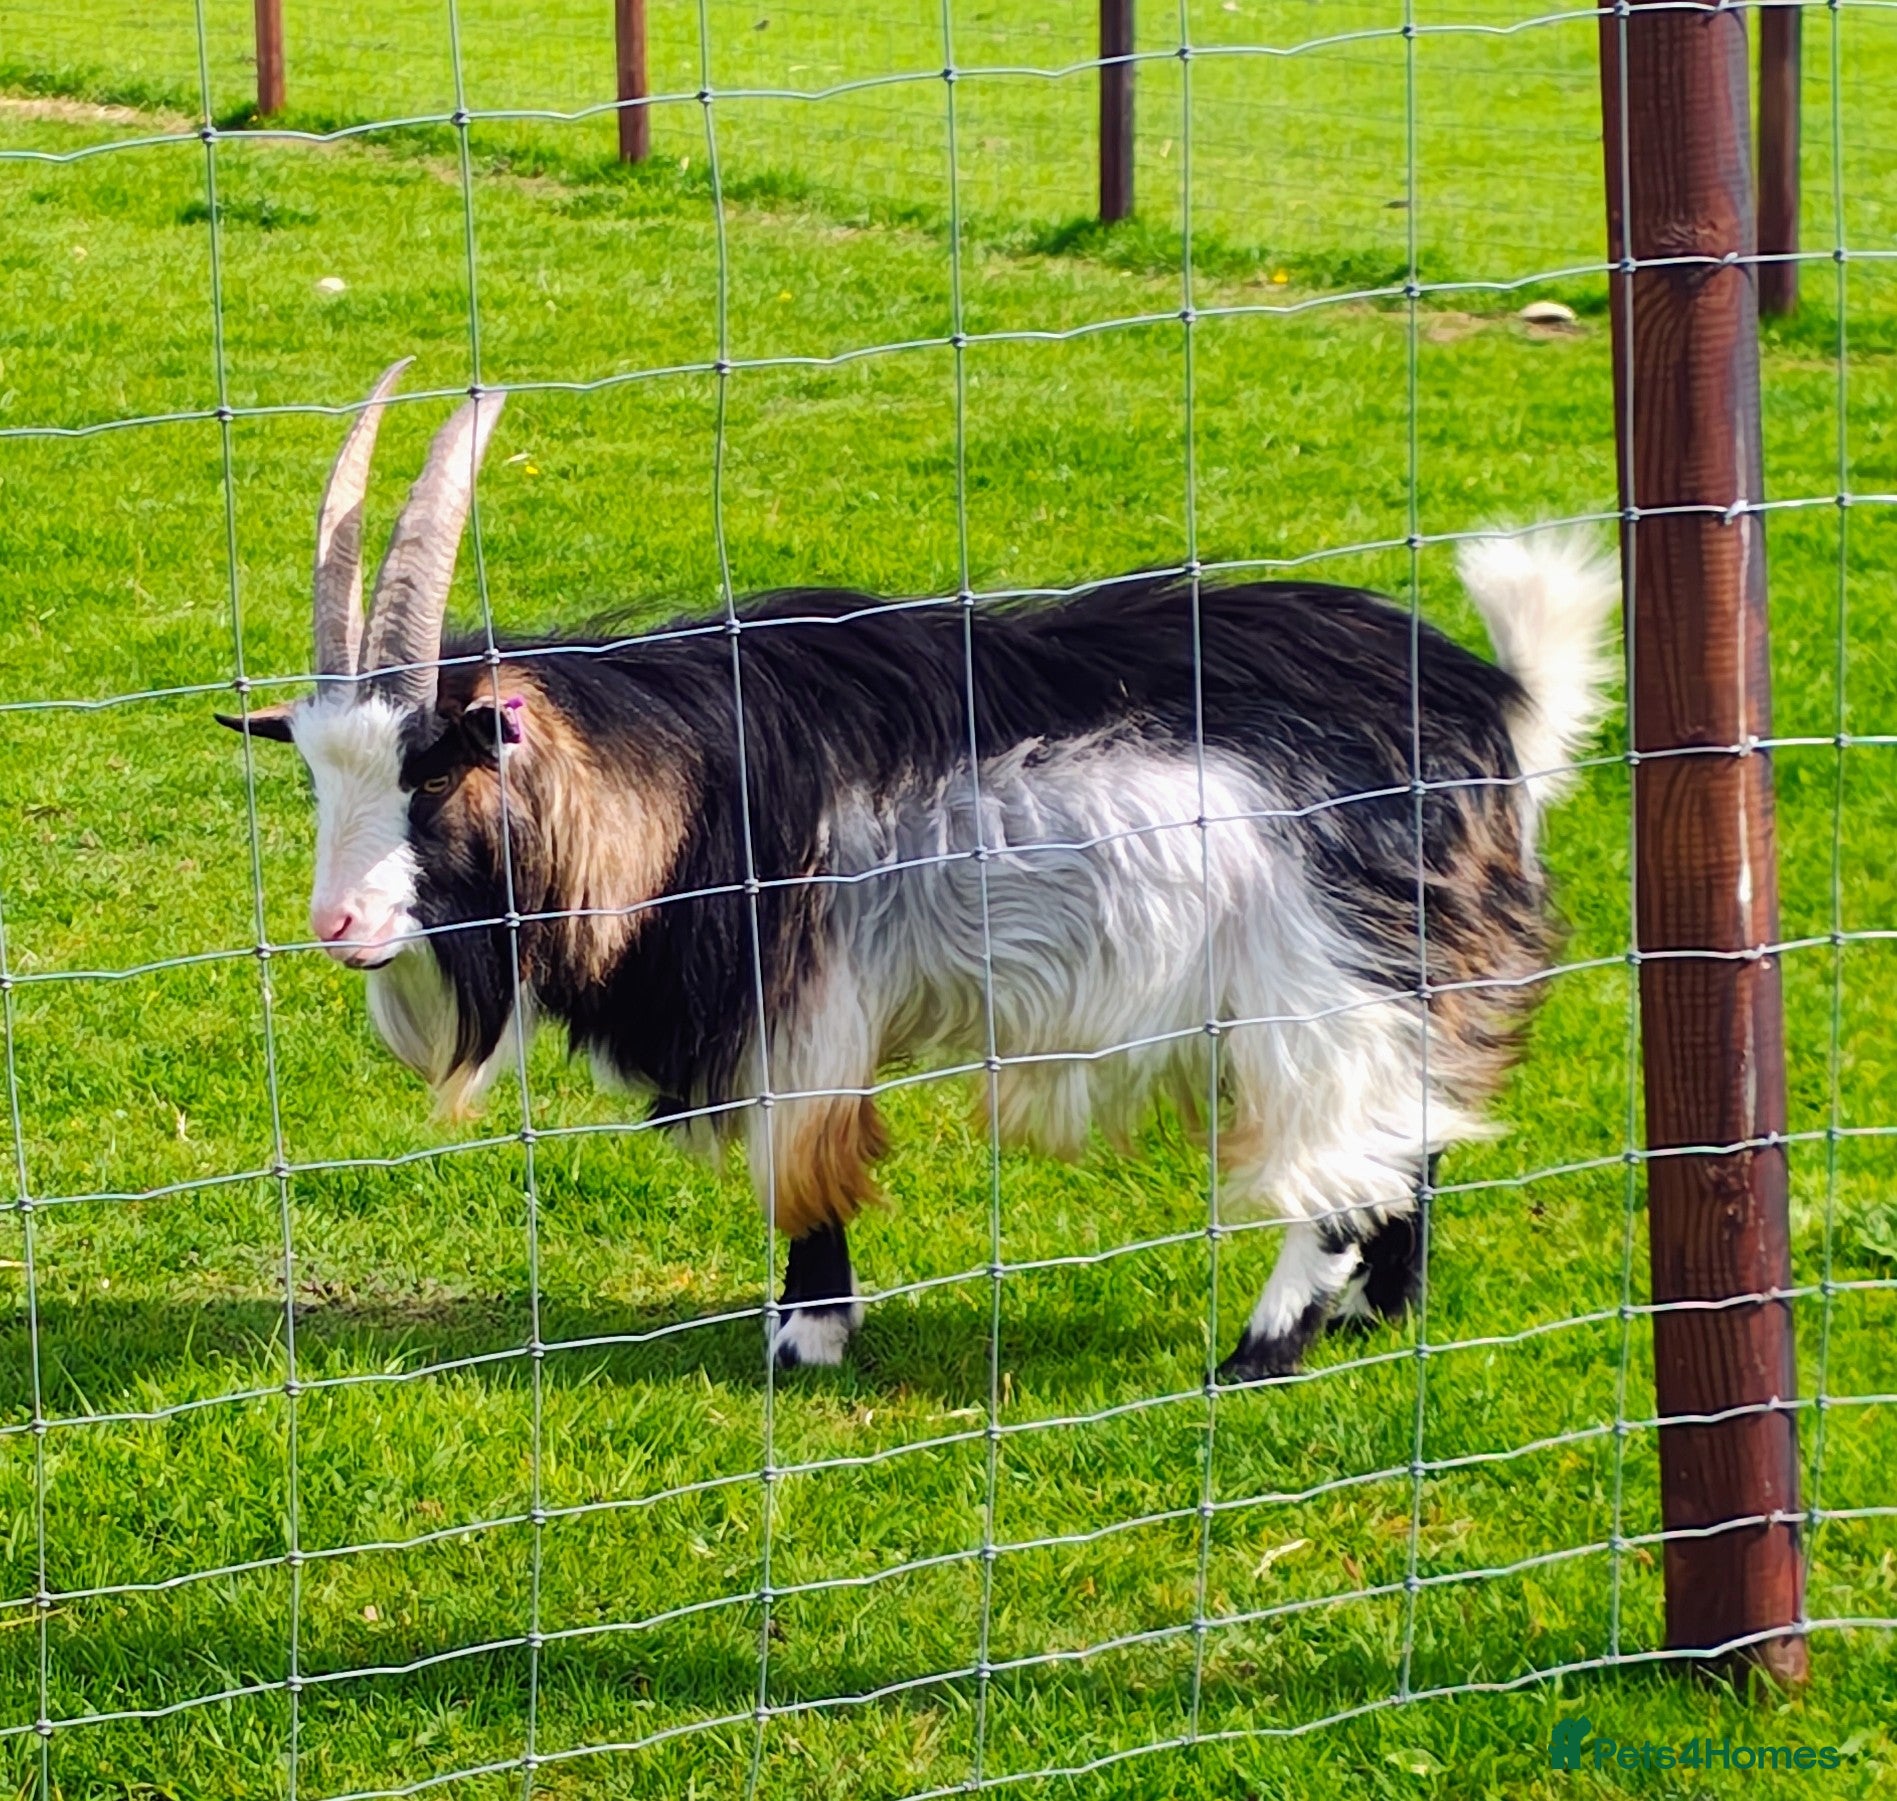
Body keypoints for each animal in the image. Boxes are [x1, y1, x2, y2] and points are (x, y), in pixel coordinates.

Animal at [219, 362, 1616, 1381]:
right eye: (318, 775)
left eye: (430, 774)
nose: (336, 921)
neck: (685, 778)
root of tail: (1498, 709)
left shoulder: (802, 1005)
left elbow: (801, 1168)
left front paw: (805, 1339)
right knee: (1407, 1132)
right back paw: (1385, 1309)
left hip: (1325, 978)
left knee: (1337, 1160)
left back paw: (1263, 1349)